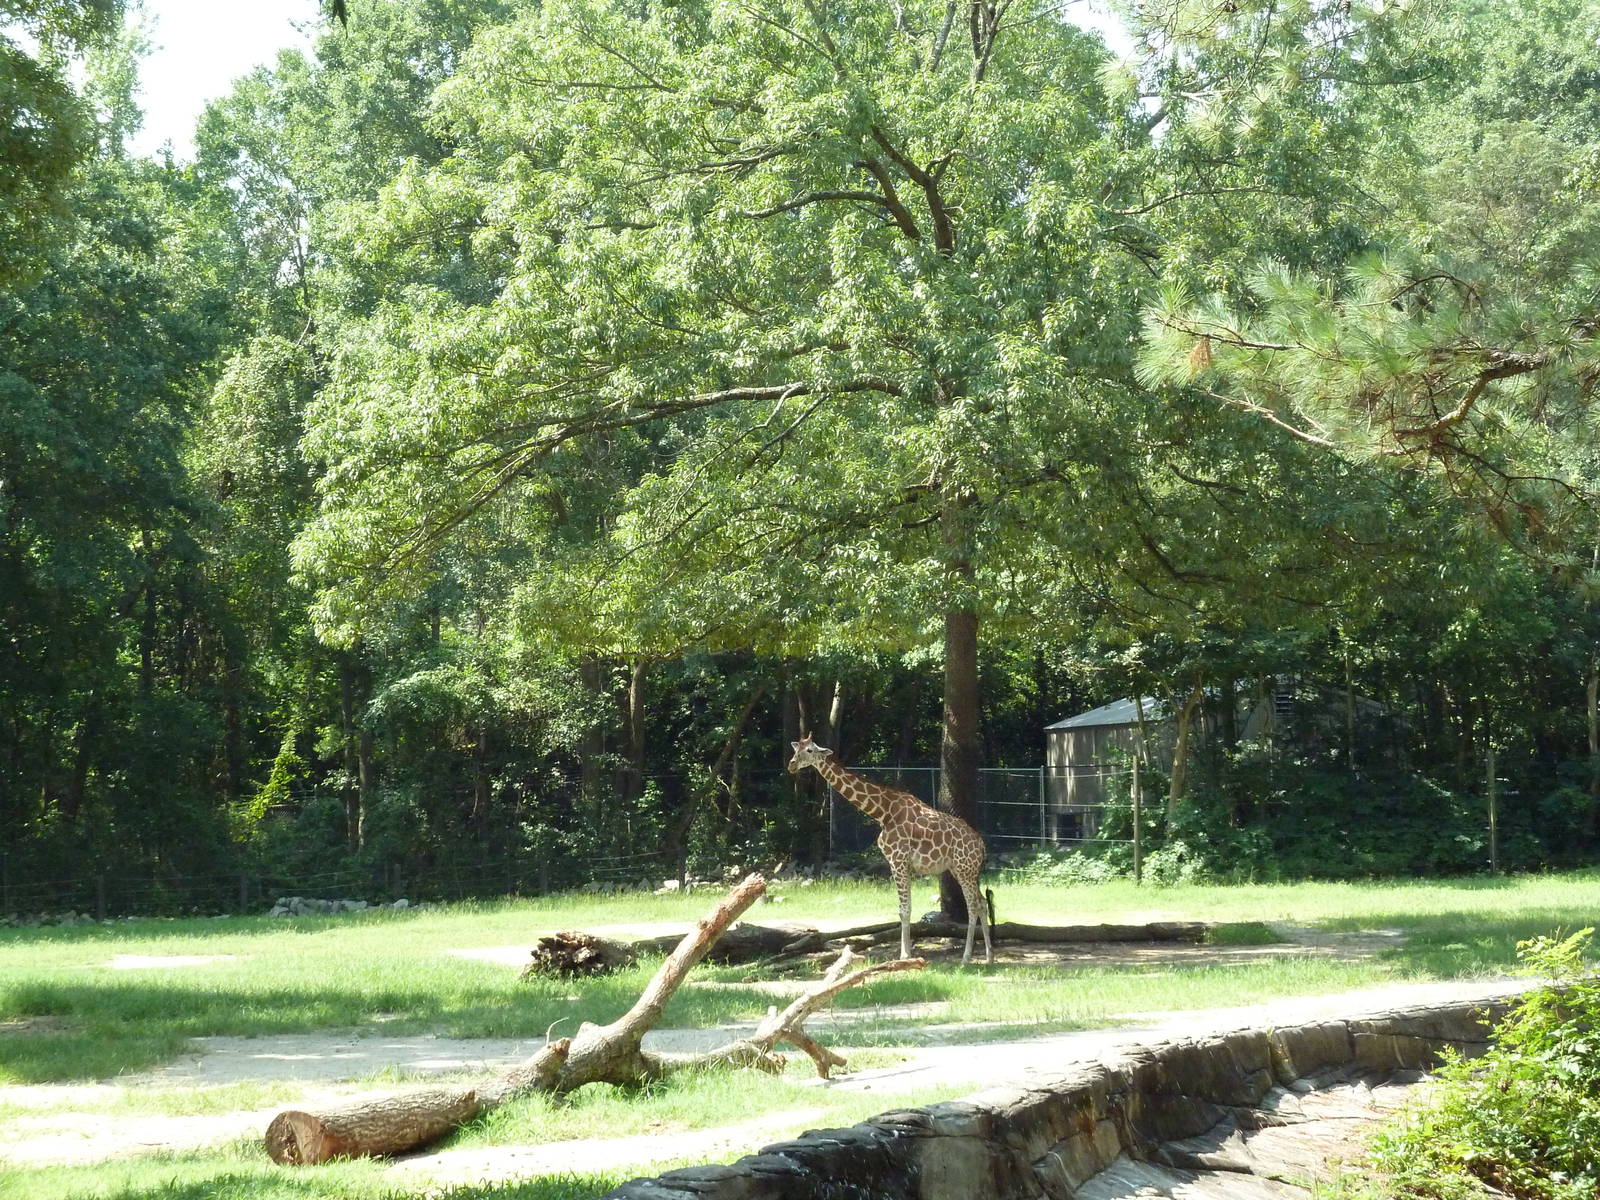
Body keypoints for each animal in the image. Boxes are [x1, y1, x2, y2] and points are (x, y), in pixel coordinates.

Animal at [788, 734, 992, 966]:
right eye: (796, 749)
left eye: (810, 750)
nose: (791, 764)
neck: (882, 812)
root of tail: (981, 845)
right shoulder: (902, 864)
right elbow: (904, 908)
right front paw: (907, 953)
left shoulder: (898, 861)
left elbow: (904, 909)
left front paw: (905, 955)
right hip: (962, 870)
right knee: (982, 902)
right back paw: (989, 956)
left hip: (965, 870)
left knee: (973, 905)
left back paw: (966, 957)